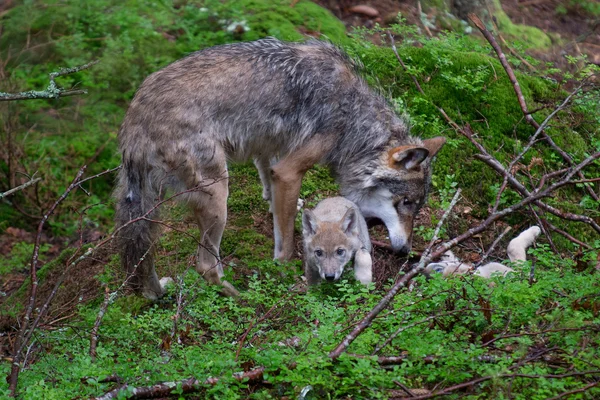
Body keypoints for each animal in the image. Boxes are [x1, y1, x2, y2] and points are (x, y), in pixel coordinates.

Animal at [115, 37, 446, 298]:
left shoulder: (271, 151)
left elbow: (270, 189)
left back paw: (156, 293)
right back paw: (242, 297)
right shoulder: (289, 171)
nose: (405, 251)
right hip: (218, 197)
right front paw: (286, 271)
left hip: (151, 207)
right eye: (405, 203)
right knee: (205, 266)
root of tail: (134, 121)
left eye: (416, 206)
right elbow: (285, 243)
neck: (354, 117)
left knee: (141, 253)